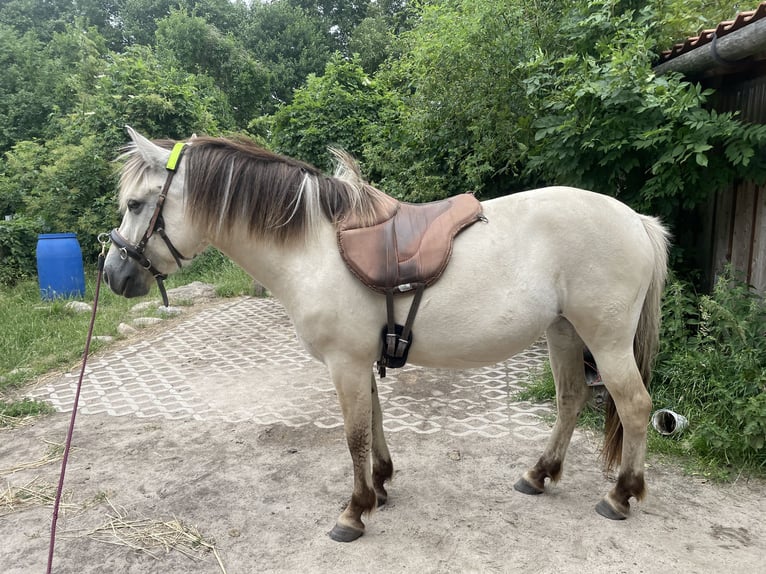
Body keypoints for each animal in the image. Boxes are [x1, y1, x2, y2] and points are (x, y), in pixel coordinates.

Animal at [103, 127, 670, 542]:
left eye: (135, 205)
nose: (113, 275)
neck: (313, 248)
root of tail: (636, 219)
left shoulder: (345, 363)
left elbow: (353, 434)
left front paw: (354, 511)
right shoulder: (359, 361)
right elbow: (373, 423)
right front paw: (380, 484)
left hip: (606, 340)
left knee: (635, 406)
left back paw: (621, 495)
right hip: (564, 332)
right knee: (572, 398)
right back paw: (539, 474)